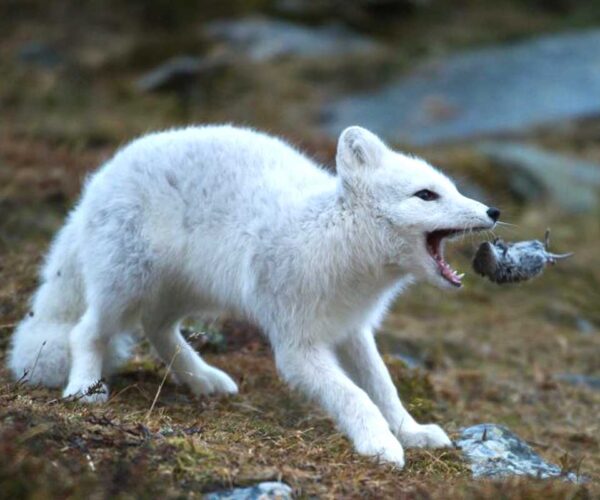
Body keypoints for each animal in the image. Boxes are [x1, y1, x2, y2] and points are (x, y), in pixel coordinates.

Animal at [8, 126, 502, 468]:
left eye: (451, 188)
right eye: (426, 195)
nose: (493, 211)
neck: (333, 238)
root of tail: (97, 182)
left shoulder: (352, 328)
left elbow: (383, 386)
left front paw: (410, 432)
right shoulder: (296, 347)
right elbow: (353, 395)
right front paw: (380, 444)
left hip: (186, 290)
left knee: (158, 329)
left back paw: (203, 380)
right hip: (125, 284)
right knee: (86, 332)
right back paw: (83, 389)